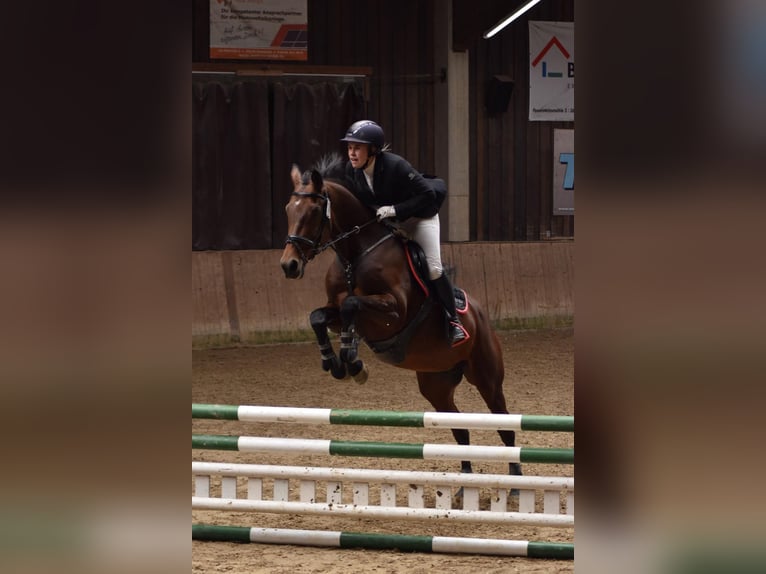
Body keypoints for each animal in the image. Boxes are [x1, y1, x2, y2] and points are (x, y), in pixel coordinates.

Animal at [279, 154, 521, 477]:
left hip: (487, 378)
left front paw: (352, 360)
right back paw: (463, 483)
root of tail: (481, 316)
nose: (289, 265)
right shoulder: (335, 311)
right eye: (288, 209)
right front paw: (336, 362)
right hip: (436, 384)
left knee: (505, 427)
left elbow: (352, 304)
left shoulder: (394, 311)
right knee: (459, 428)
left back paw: (516, 481)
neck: (355, 256)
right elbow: (318, 317)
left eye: (314, 211)